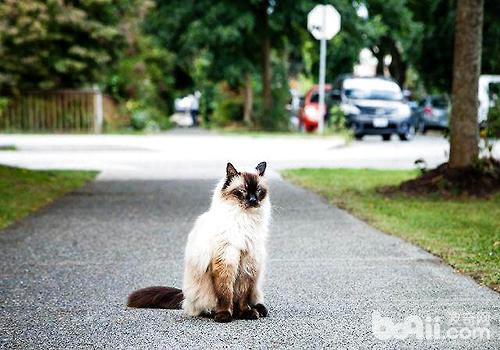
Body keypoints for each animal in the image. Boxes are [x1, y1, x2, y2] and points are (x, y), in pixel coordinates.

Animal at [127, 161, 272, 322]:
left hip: (256, 286)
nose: (253, 200)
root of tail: (185, 296)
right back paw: (219, 313)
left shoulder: (248, 265)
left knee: (253, 300)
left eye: (258, 191)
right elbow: (225, 293)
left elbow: (242, 296)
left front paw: (246, 313)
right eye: (243, 191)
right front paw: (224, 315)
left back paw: (258, 310)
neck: (244, 219)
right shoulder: (225, 262)